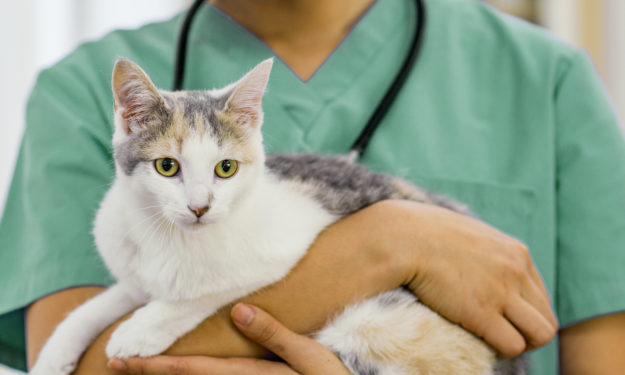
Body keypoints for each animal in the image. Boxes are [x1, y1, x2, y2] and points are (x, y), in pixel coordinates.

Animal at [31, 57, 524, 374]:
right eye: (167, 167)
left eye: (225, 168)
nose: (199, 206)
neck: (170, 237)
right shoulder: (133, 267)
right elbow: (103, 301)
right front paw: (57, 351)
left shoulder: (283, 247)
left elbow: (205, 290)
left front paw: (141, 329)